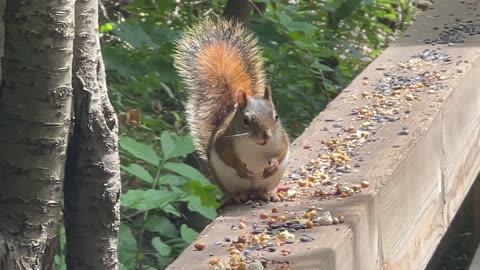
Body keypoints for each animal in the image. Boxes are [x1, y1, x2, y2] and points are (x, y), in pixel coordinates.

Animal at [174, 18, 290, 202]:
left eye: (276, 116)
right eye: (245, 121)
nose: (265, 136)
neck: (256, 147)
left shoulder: (280, 139)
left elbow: (281, 152)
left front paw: (274, 165)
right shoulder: (224, 141)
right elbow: (226, 156)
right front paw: (240, 167)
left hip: (270, 181)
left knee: (263, 190)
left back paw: (270, 194)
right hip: (227, 182)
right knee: (237, 192)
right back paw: (239, 197)